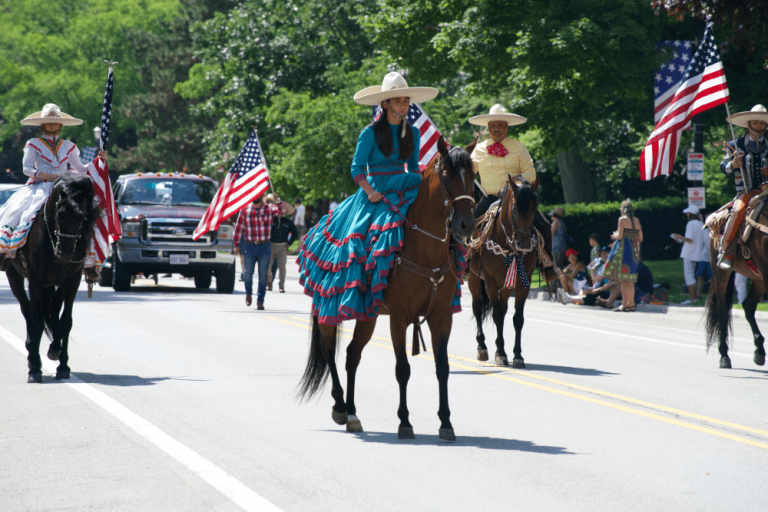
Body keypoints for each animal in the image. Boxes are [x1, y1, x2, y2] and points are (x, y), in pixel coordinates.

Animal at [4, 174, 100, 382]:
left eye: (82, 216)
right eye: (60, 214)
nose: (65, 253)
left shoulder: (72, 281)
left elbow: (65, 322)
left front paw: (62, 364)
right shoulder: (36, 281)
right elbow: (37, 322)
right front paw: (35, 369)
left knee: (52, 308)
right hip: (14, 276)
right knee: (28, 309)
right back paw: (32, 354)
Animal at [298, 136, 474, 440]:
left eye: (473, 175)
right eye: (447, 175)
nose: (466, 225)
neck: (424, 249)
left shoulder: (441, 316)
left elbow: (443, 367)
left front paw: (446, 423)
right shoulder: (399, 317)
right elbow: (402, 369)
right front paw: (404, 422)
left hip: (367, 315)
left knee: (352, 356)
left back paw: (353, 414)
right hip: (327, 309)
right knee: (329, 351)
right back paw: (340, 406)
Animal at [468, 176, 540, 368]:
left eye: (534, 207)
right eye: (514, 209)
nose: (523, 243)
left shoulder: (523, 283)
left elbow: (518, 318)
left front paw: (517, 355)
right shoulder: (490, 283)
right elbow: (497, 315)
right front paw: (500, 353)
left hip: (506, 286)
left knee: (503, 307)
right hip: (473, 278)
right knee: (477, 308)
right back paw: (482, 347)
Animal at [704, 212, 764, 368]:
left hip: (758, 279)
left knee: (748, 305)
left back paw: (759, 350)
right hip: (721, 275)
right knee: (722, 310)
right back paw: (724, 355)